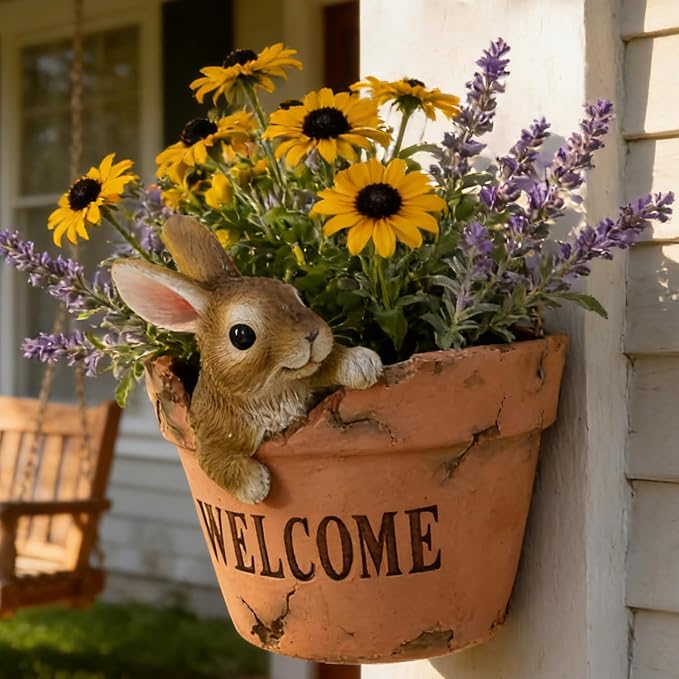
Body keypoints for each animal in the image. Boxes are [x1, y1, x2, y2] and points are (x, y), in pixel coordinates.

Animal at [111, 215, 383, 504]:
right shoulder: (210, 433)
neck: (269, 394)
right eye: (242, 336)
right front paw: (255, 485)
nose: (312, 335)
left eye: (297, 297)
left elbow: (326, 365)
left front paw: (362, 364)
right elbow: (213, 461)